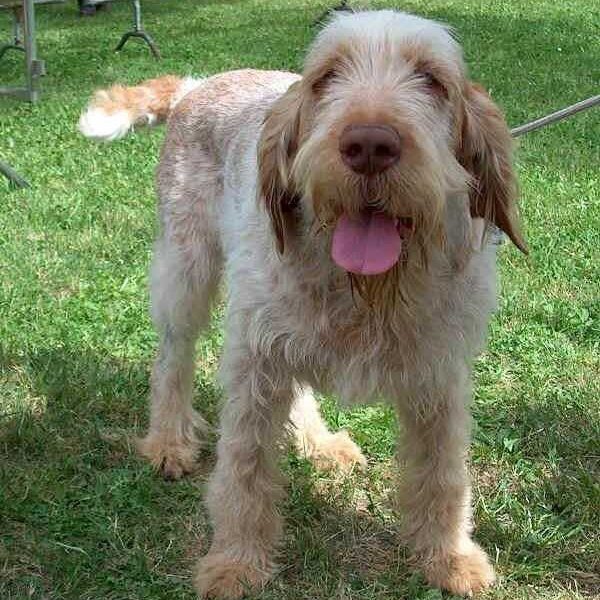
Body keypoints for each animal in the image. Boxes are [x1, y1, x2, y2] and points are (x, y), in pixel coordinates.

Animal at [78, 10, 524, 600]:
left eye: (431, 79)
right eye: (326, 77)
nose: (369, 145)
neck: (365, 291)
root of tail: (199, 84)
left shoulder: (440, 375)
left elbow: (443, 473)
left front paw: (448, 557)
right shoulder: (252, 362)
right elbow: (242, 469)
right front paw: (236, 562)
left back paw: (318, 442)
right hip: (186, 270)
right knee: (173, 357)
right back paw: (169, 441)